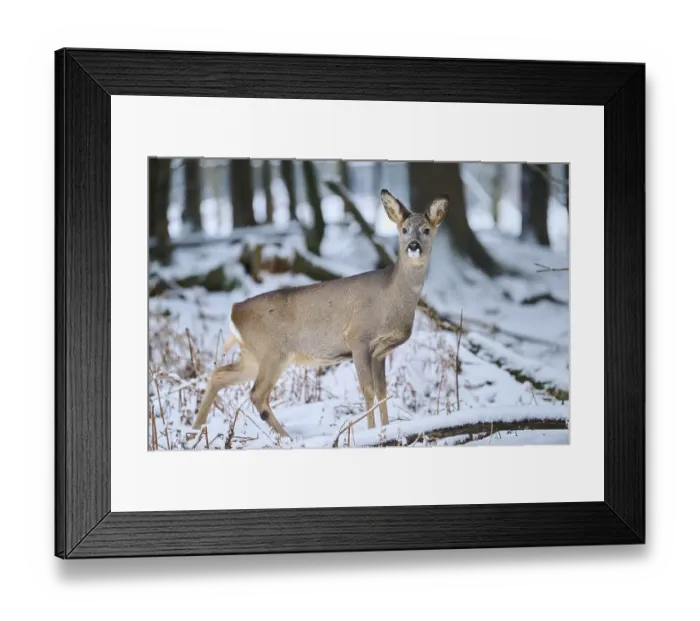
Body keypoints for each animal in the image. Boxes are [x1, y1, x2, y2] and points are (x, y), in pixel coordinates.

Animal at [191, 188, 449, 440]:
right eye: (404, 229)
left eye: (426, 229)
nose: (413, 245)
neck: (391, 300)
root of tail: (234, 311)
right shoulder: (358, 338)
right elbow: (367, 390)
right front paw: (372, 433)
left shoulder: (381, 351)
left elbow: (383, 391)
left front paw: (387, 430)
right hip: (273, 352)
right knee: (257, 394)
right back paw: (287, 438)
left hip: (253, 355)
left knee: (218, 374)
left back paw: (194, 433)